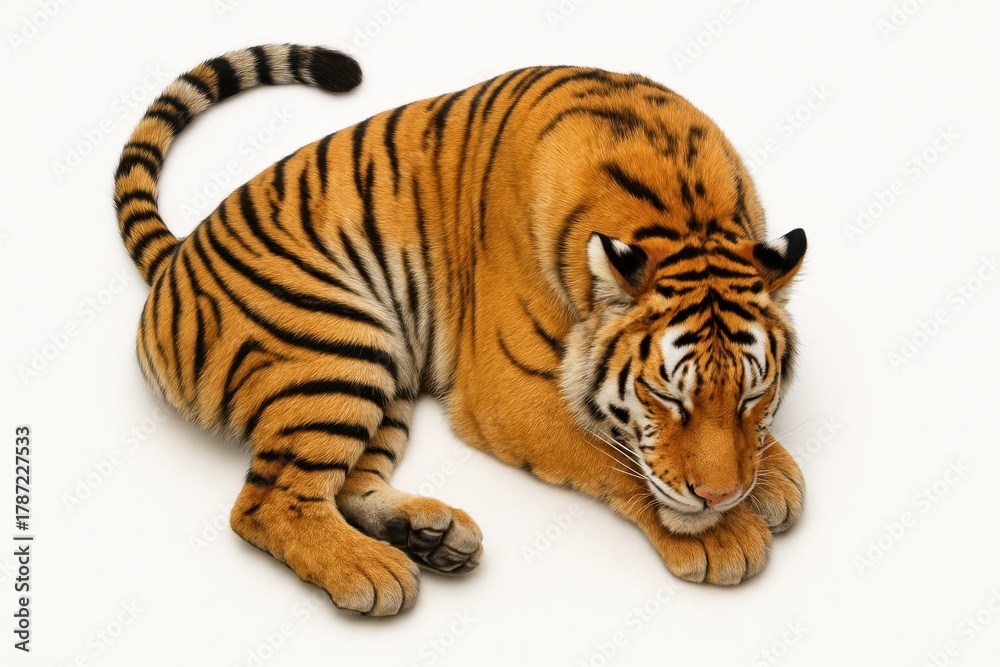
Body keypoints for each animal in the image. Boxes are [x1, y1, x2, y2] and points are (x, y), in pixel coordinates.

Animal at [114, 44, 807, 616]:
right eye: (665, 397)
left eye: (753, 394)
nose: (720, 496)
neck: (683, 210)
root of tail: (176, 255)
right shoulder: (510, 394)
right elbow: (614, 454)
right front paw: (725, 533)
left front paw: (772, 476)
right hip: (340, 344)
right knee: (268, 501)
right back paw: (373, 571)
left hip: (384, 368)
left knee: (348, 484)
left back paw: (431, 537)